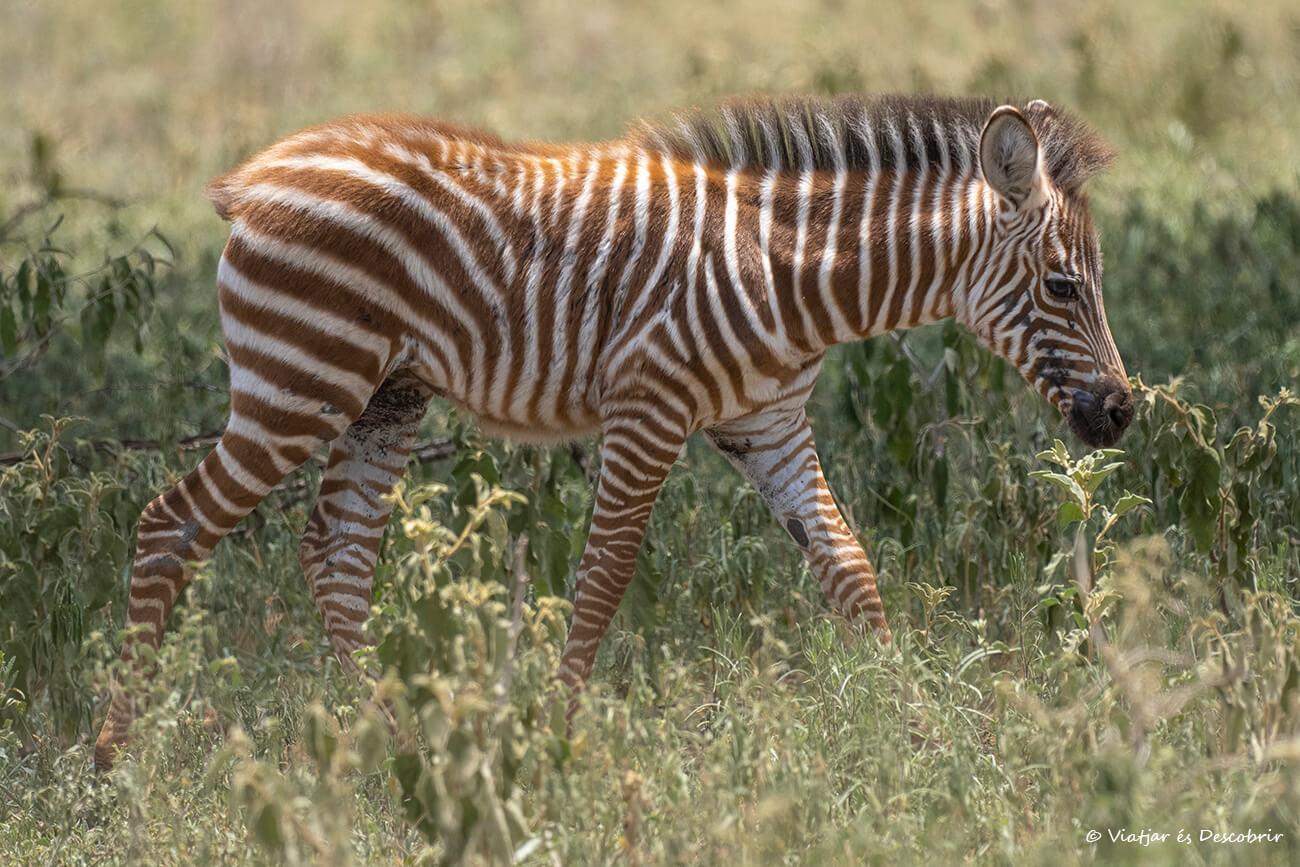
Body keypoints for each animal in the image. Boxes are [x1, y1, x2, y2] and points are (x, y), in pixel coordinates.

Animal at [94, 95, 1132, 771]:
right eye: (1062, 286)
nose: (1122, 413)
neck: (786, 272)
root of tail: (250, 177)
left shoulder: (769, 423)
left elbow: (851, 570)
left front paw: (925, 734)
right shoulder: (649, 408)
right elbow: (602, 577)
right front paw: (555, 741)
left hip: (385, 393)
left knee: (337, 554)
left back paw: (404, 749)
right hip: (300, 380)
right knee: (170, 524)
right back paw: (113, 763)